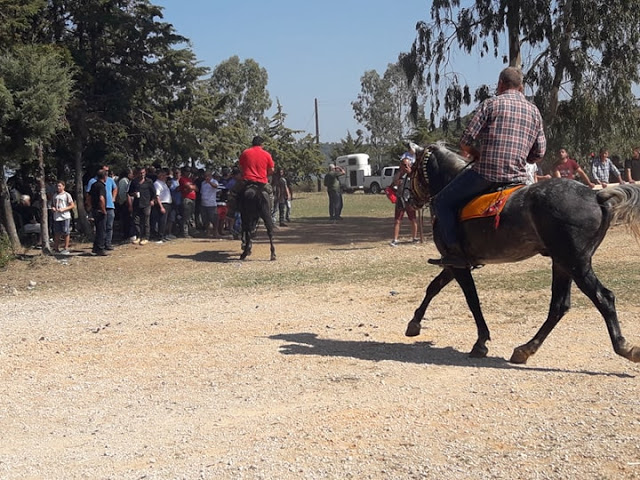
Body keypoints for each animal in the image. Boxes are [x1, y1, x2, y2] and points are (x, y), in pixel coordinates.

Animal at [404, 142, 640, 364]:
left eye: (411, 168)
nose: (408, 199)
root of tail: (596, 195)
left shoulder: (456, 263)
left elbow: (472, 300)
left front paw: (481, 342)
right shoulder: (455, 264)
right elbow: (434, 287)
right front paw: (414, 323)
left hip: (575, 264)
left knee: (603, 298)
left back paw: (624, 346)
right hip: (562, 264)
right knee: (559, 307)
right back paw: (525, 349)